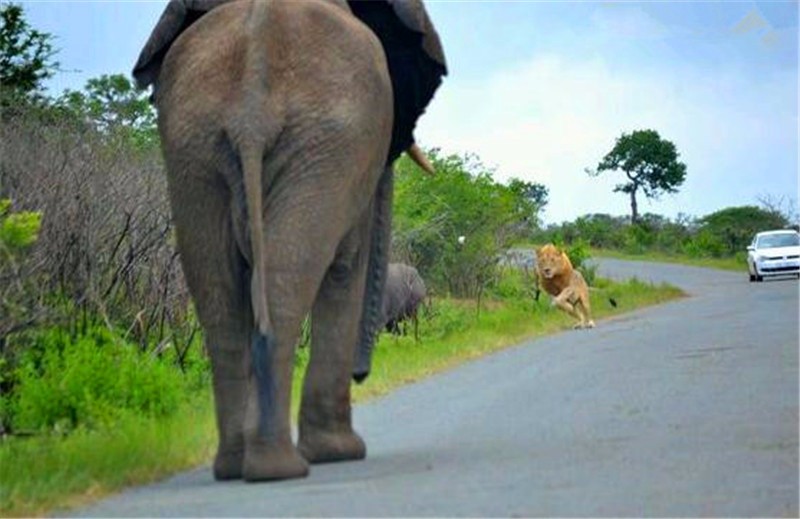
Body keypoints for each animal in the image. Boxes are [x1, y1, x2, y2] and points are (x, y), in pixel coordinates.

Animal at [131, 0, 444, 484]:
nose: (362, 374)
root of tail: (250, 110)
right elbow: (346, 267)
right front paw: (339, 453)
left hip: (193, 146)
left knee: (218, 289)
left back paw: (235, 467)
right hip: (321, 146)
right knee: (290, 279)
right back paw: (278, 467)